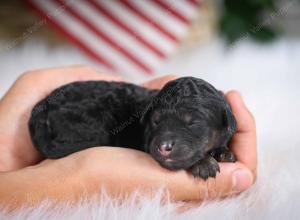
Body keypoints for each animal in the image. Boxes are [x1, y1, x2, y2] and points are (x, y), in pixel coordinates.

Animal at [29, 76, 237, 180]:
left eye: (192, 122)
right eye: (155, 121)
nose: (164, 146)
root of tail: (40, 108)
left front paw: (223, 152)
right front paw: (204, 163)